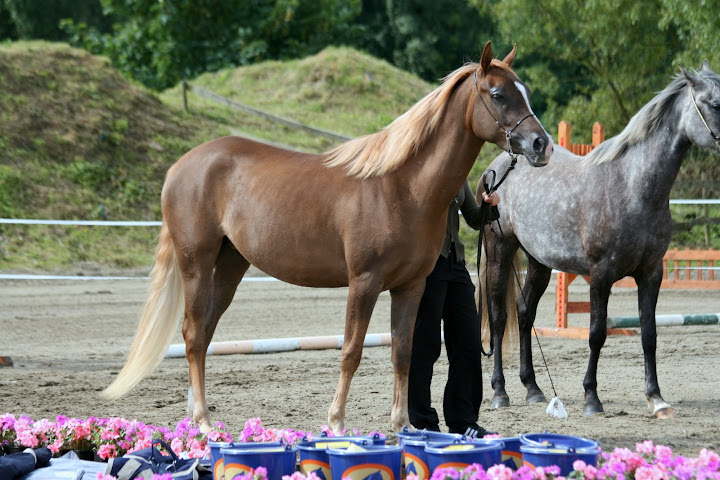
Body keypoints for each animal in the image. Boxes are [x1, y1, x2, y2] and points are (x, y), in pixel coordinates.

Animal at [101, 41, 554, 434]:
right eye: (497, 94)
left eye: (525, 92)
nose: (541, 145)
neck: (401, 186)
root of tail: (181, 166)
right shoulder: (364, 282)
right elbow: (351, 352)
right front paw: (335, 423)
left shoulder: (411, 286)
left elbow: (404, 352)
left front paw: (402, 426)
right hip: (196, 263)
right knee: (194, 336)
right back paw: (204, 424)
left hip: (229, 266)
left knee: (205, 332)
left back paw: (198, 413)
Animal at [478, 61, 720, 419]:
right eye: (715, 103)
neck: (633, 187)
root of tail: (498, 166)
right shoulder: (601, 274)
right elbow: (596, 333)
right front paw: (592, 398)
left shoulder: (652, 273)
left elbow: (649, 334)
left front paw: (656, 399)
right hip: (499, 251)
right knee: (498, 317)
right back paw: (500, 392)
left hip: (539, 263)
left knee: (524, 311)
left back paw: (533, 389)